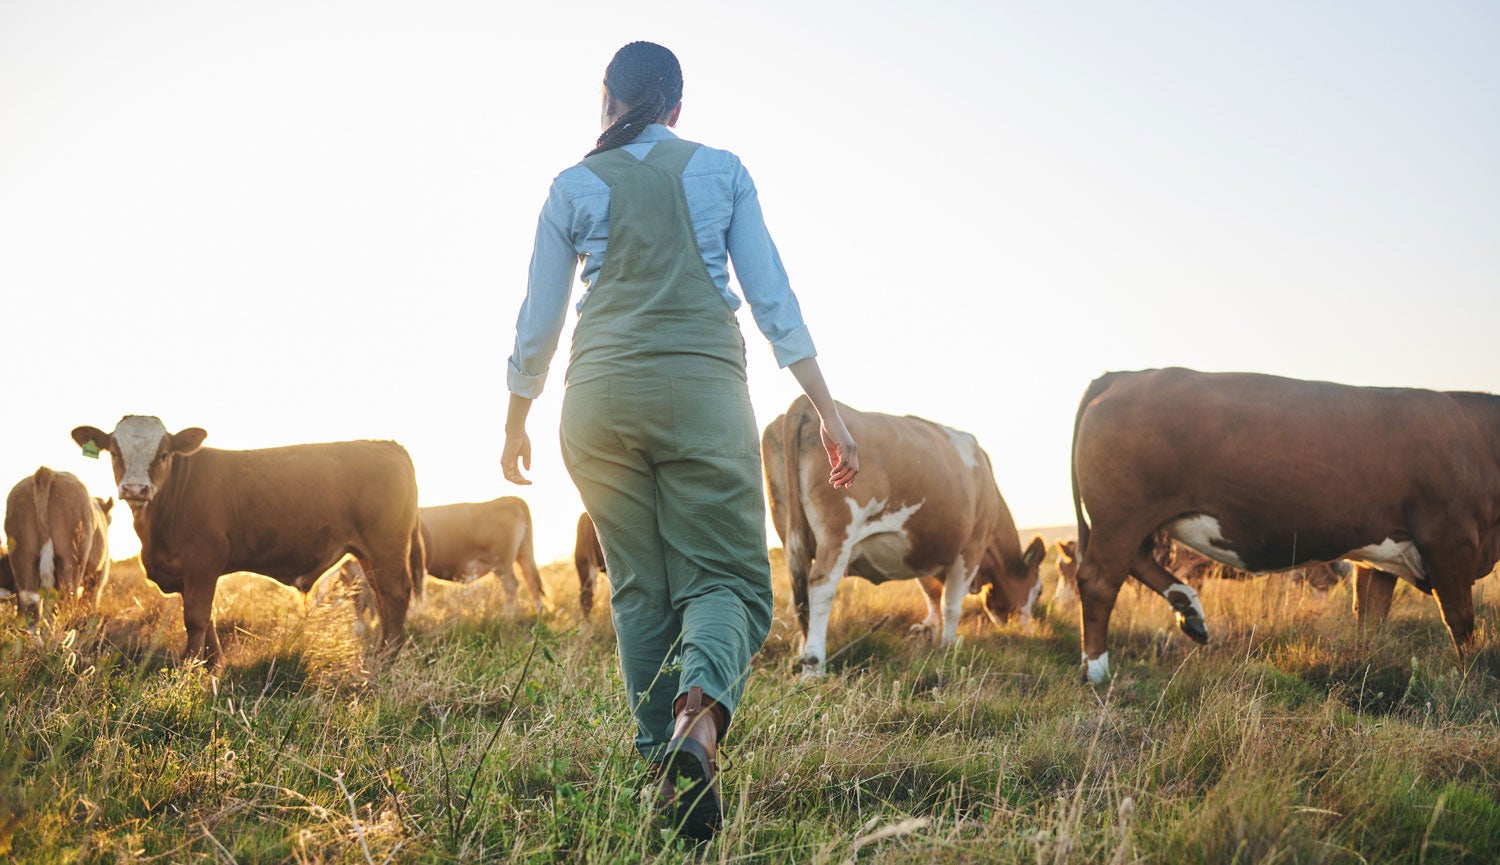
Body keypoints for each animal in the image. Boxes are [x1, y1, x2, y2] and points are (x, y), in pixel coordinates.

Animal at [3, 467, 113, 624]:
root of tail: (46, 471)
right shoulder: (98, 576)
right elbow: (90, 600)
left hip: (22, 559)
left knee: (31, 605)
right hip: (71, 561)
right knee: (64, 599)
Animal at [69, 416, 424, 662]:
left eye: (164, 454)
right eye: (115, 452)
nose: (135, 488)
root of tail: (387, 444)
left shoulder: (203, 562)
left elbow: (195, 618)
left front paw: (187, 667)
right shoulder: (190, 574)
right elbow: (208, 617)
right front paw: (212, 664)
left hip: (386, 546)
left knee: (394, 597)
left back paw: (386, 659)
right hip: (369, 554)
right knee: (382, 598)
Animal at [763, 396, 1046, 675]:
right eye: (1039, 590)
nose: (1031, 629)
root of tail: (806, 405)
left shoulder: (922, 553)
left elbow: (932, 595)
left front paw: (929, 633)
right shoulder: (971, 548)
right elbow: (951, 605)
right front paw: (948, 647)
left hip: (790, 532)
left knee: (799, 596)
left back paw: (801, 655)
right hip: (837, 533)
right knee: (821, 588)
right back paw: (814, 665)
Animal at [1070, 368, 1500, 683]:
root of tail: (1125, 375)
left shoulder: (1379, 557)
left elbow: (1371, 619)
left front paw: (1366, 665)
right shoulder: (1450, 539)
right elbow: (1460, 620)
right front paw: (1472, 681)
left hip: (1138, 521)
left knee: (1137, 563)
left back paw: (1189, 612)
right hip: (1123, 516)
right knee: (1099, 580)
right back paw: (1098, 671)